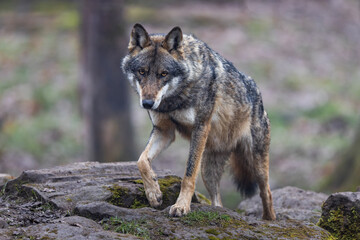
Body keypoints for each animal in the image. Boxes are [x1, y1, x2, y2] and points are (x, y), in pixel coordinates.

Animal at [121, 23, 276, 220]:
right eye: (142, 72)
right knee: (218, 201)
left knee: (267, 192)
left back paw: (269, 220)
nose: (147, 103)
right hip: (208, 171)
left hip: (256, 164)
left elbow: (188, 175)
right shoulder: (164, 131)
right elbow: (141, 161)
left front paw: (181, 206)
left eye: (163, 74)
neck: (174, 99)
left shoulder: (200, 127)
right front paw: (154, 193)